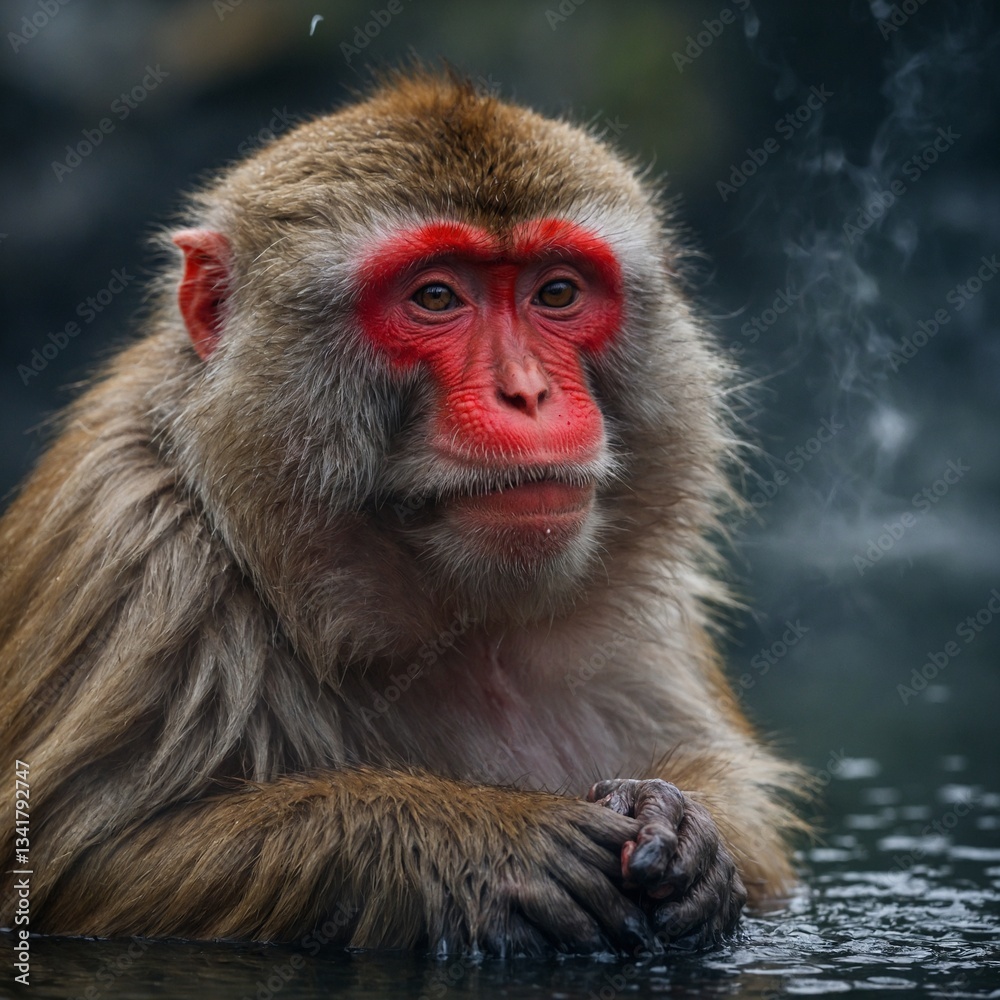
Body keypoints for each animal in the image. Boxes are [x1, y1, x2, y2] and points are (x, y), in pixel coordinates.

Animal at [0, 70, 807, 955]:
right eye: (436, 296)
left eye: (557, 291)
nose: (527, 393)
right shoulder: (136, 552)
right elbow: (88, 861)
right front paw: (492, 839)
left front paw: (680, 823)